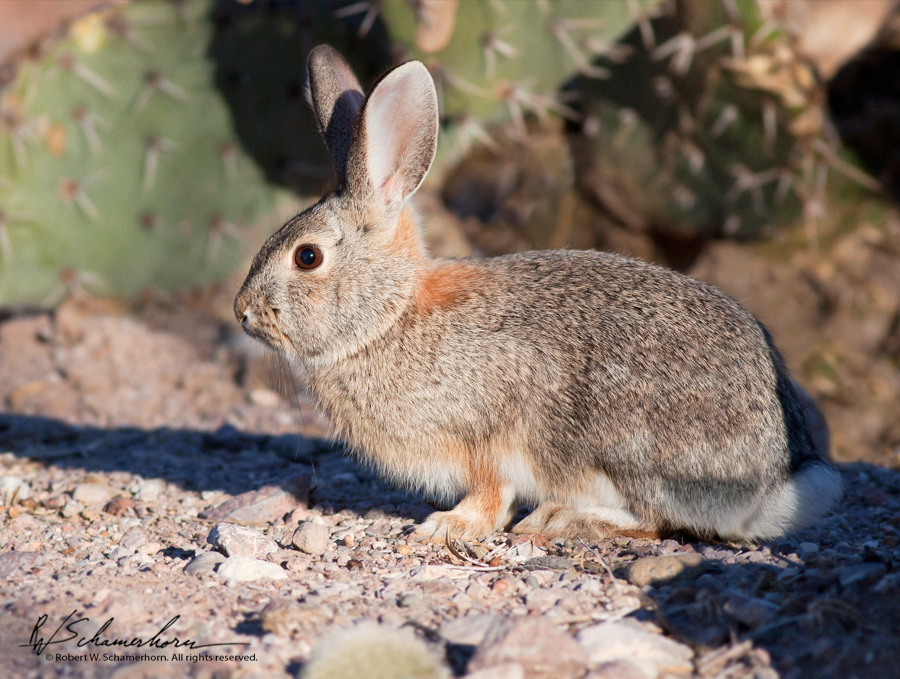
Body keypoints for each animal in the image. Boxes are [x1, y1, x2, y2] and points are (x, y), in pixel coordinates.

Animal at [236, 45, 840, 544]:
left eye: (307, 257)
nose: (242, 313)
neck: (388, 316)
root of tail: (775, 479)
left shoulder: (487, 438)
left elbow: (490, 494)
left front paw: (446, 526)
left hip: (622, 444)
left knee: (654, 519)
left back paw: (559, 519)